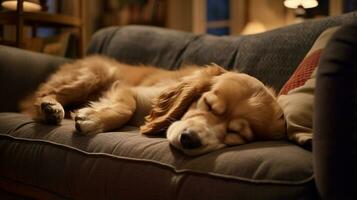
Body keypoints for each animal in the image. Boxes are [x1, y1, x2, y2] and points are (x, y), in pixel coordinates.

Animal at [20, 55, 286, 155]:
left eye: (236, 134)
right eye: (207, 105)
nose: (190, 139)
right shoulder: (131, 91)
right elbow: (125, 108)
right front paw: (92, 119)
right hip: (98, 72)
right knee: (45, 94)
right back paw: (52, 108)